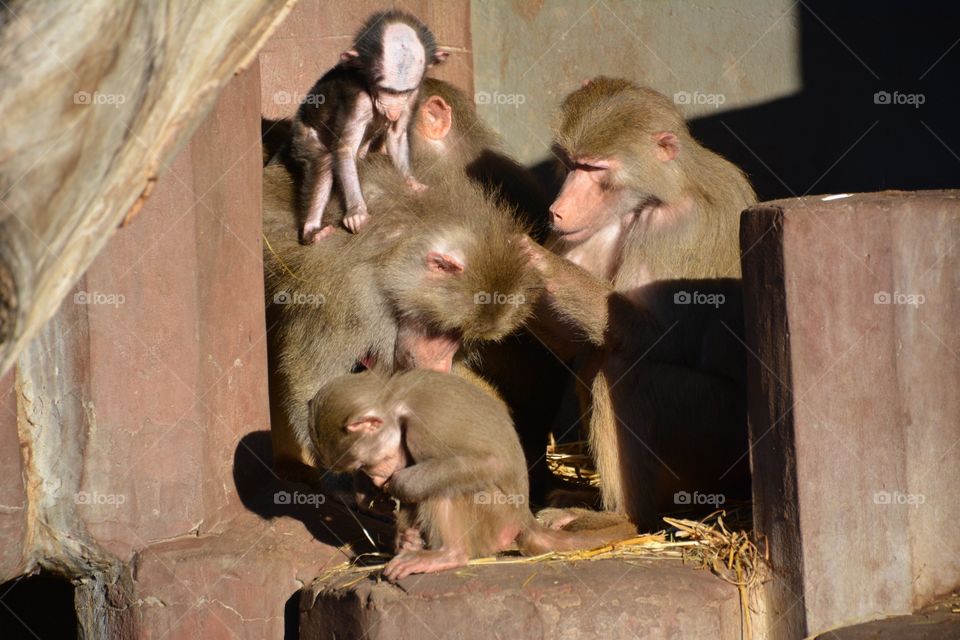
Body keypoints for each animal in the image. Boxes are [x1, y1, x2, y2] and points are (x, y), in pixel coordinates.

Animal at [290, 10, 448, 245]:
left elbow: (397, 136)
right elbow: (345, 149)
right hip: (304, 133)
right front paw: (356, 211)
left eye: (403, 92)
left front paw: (410, 182)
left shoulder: (413, 95)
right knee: (323, 162)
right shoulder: (359, 99)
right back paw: (312, 231)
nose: (393, 110)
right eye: (387, 90)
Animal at [310, 368, 636, 584]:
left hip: (495, 519)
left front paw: (397, 485)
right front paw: (397, 527)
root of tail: (524, 519)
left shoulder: (423, 425)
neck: (396, 402)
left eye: (364, 463)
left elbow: (487, 463)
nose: (377, 480)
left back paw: (448, 555)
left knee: (447, 485)